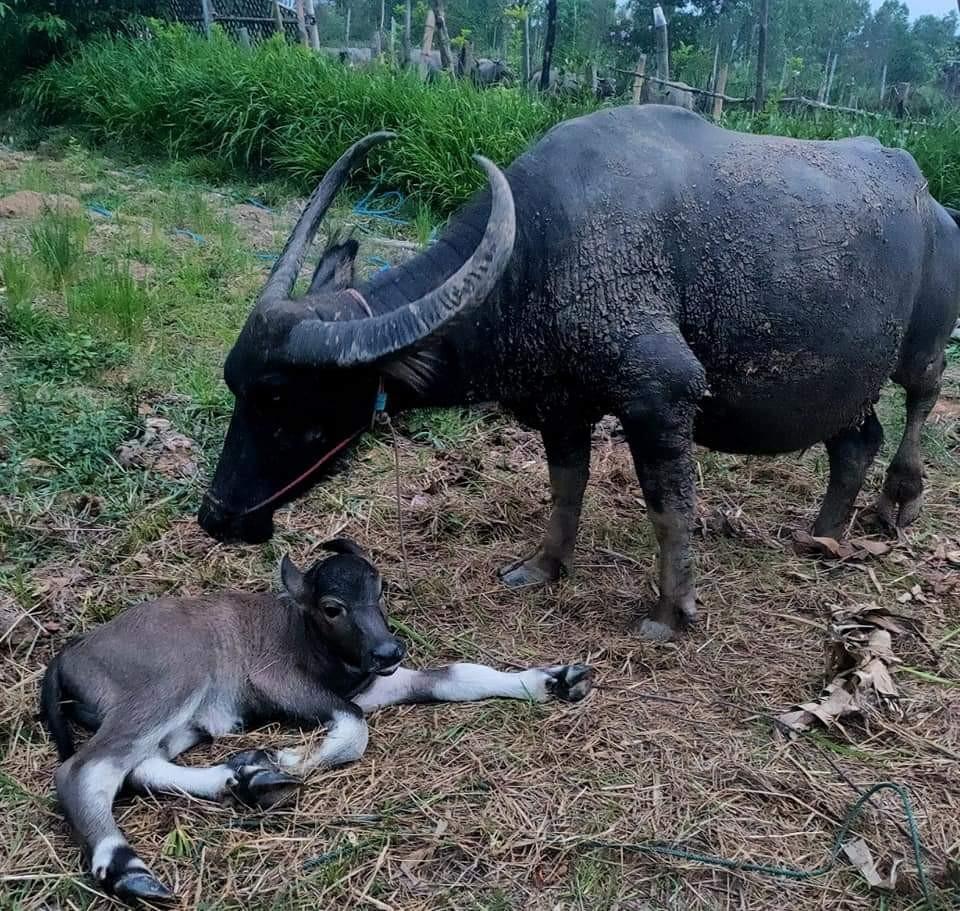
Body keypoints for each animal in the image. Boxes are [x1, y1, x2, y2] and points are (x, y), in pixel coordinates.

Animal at [40, 538, 592, 903]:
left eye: (381, 589)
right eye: (331, 607)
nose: (388, 650)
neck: (313, 644)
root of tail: (70, 652)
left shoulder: (376, 683)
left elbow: (459, 675)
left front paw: (555, 679)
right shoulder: (282, 683)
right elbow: (354, 727)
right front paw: (288, 757)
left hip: (183, 722)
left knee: (138, 767)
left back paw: (246, 780)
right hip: (170, 685)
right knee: (85, 768)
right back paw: (127, 866)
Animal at [198, 106, 960, 641]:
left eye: (278, 397)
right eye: (236, 384)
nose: (216, 517)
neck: (538, 252)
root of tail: (932, 205)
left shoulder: (660, 396)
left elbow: (670, 509)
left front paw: (671, 611)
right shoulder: (561, 405)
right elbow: (566, 488)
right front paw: (542, 567)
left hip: (922, 348)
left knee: (920, 400)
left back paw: (900, 499)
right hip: (843, 383)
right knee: (855, 440)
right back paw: (822, 536)